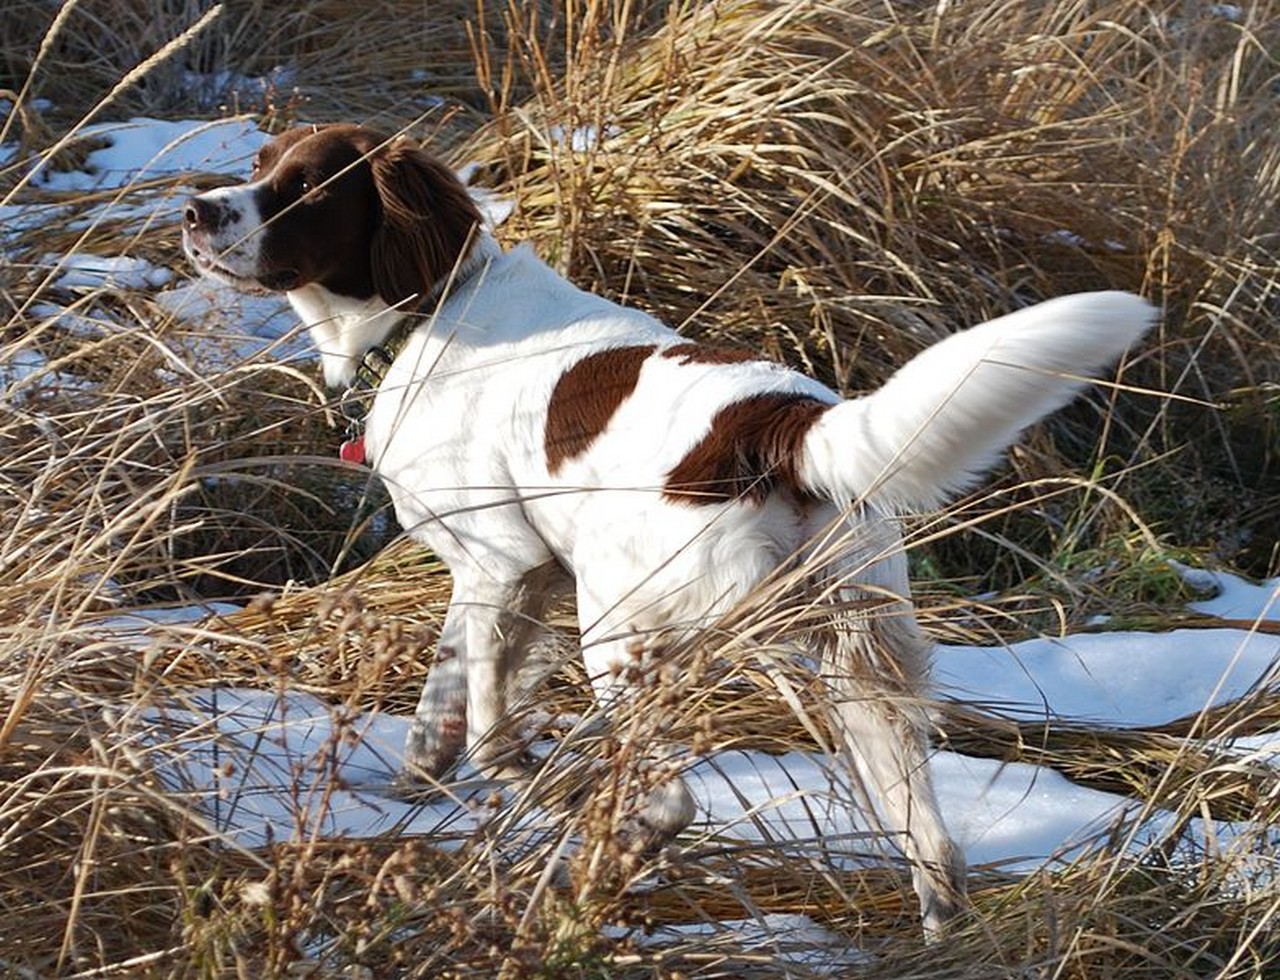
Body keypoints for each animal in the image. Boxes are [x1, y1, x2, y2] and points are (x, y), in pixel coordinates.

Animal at [183, 122, 1162, 936]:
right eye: (262, 164)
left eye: (309, 188)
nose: (195, 211)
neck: (431, 309)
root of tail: (785, 425)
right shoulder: (530, 574)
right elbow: (461, 715)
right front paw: (431, 793)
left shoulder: (499, 562)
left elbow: (476, 717)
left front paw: (495, 783)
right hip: (863, 663)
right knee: (933, 846)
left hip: (624, 628)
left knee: (669, 804)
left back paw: (590, 869)